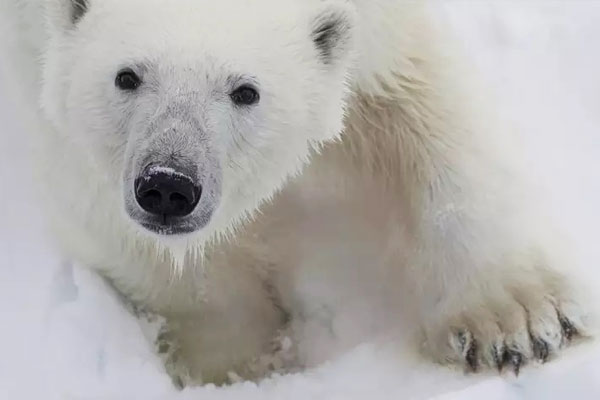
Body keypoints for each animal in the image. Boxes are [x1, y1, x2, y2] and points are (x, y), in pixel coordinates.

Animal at [0, 0, 592, 388]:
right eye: (127, 76)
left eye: (246, 91)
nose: (168, 185)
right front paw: (230, 364)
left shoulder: (384, 22)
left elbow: (423, 101)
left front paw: (517, 324)